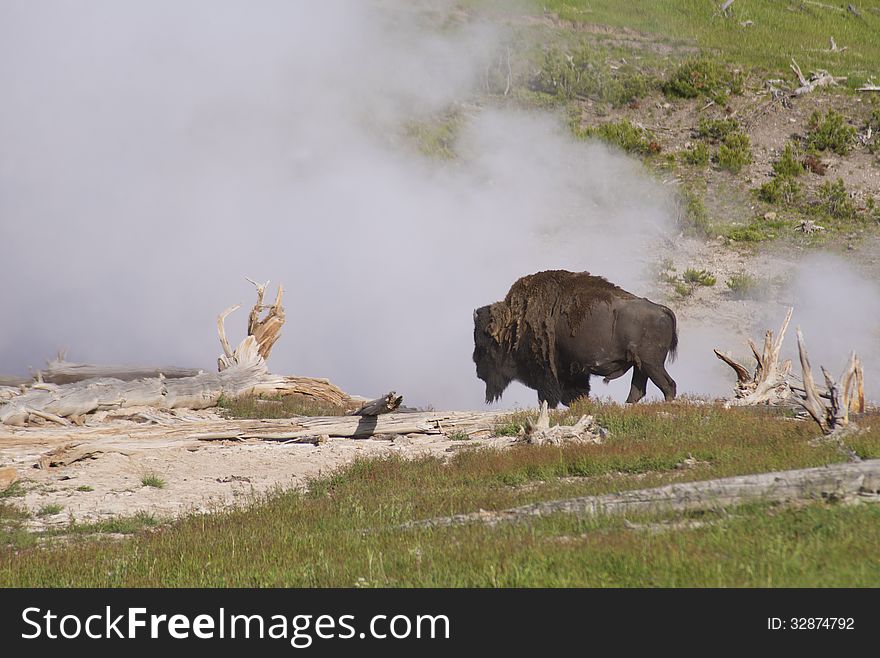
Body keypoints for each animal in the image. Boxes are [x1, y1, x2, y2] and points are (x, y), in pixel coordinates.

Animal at [470, 268, 676, 404]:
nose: (478, 372)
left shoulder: (549, 372)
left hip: (651, 363)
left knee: (668, 385)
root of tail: (661, 309)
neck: (513, 325)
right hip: (641, 365)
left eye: (484, 345)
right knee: (638, 390)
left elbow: (550, 397)